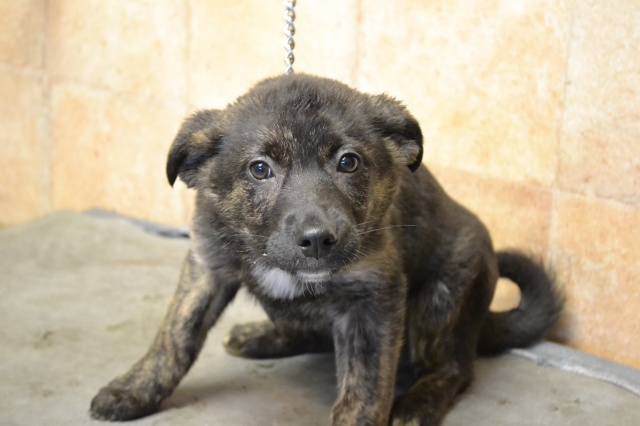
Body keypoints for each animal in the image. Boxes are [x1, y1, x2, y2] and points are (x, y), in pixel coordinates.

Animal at [90, 74, 563, 425]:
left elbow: (364, 386)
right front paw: (135, 389)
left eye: (348, 162)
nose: (318, 239)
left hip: (442, 297)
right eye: (259, 169)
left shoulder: (372, 299)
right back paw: (262, 336)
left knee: (453, 368)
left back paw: (417, 404)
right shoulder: (207, 266)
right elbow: (174, 336)